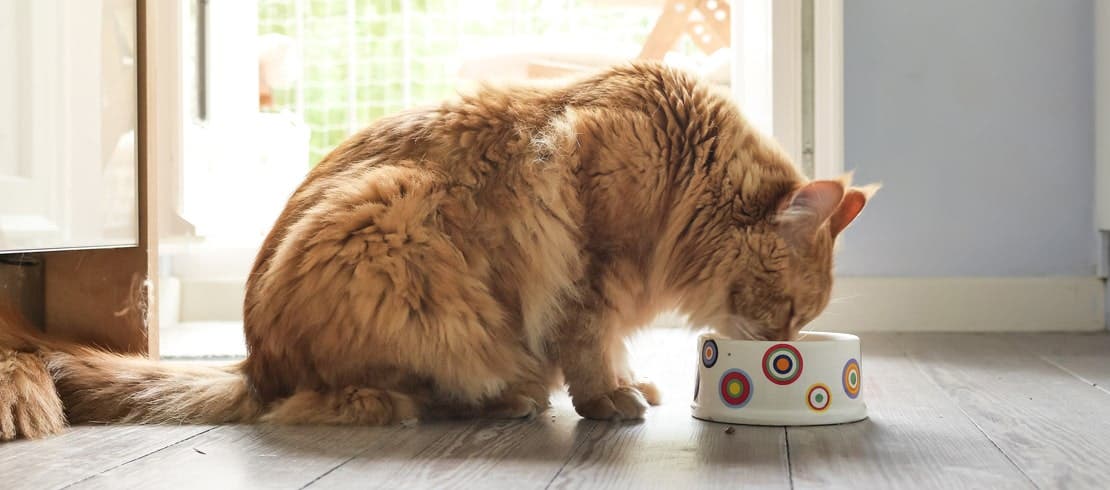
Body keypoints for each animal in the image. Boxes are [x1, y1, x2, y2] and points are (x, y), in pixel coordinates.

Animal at [0, 61, 874, 440]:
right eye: (790, 311)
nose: (786, 345)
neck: (680, 169)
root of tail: (254, 363)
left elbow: (613, 348)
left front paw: (633, 384)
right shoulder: (590, 270)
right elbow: (591, 351)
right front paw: (611, 400)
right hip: (395, 233)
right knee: (362, 400)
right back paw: (500, 402)